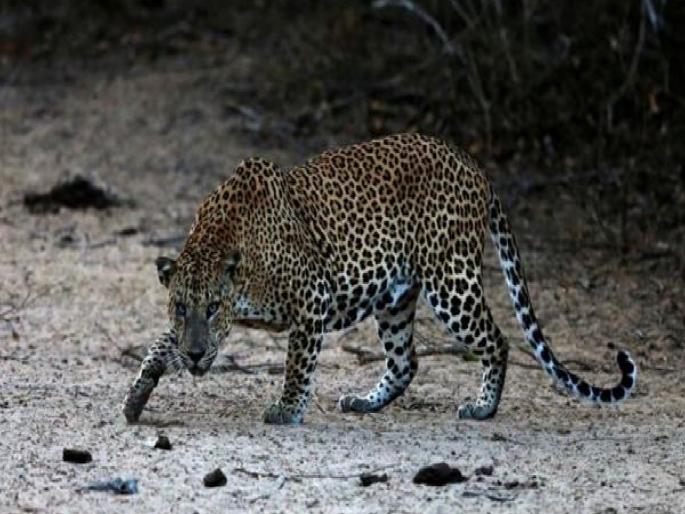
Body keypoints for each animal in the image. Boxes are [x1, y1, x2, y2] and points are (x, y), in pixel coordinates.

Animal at [122, 133, 638, 424]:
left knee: (498, 340)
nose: (195, 355)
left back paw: (483, 408)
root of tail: (473, 165)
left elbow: (297, 364)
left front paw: (287, 409)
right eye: (181, 307)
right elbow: (159, 345)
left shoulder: (311, 297)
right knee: (406, 360)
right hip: (395, 297)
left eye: (213, 308)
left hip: (451, 280)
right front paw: (138, 394)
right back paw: (366, 402)